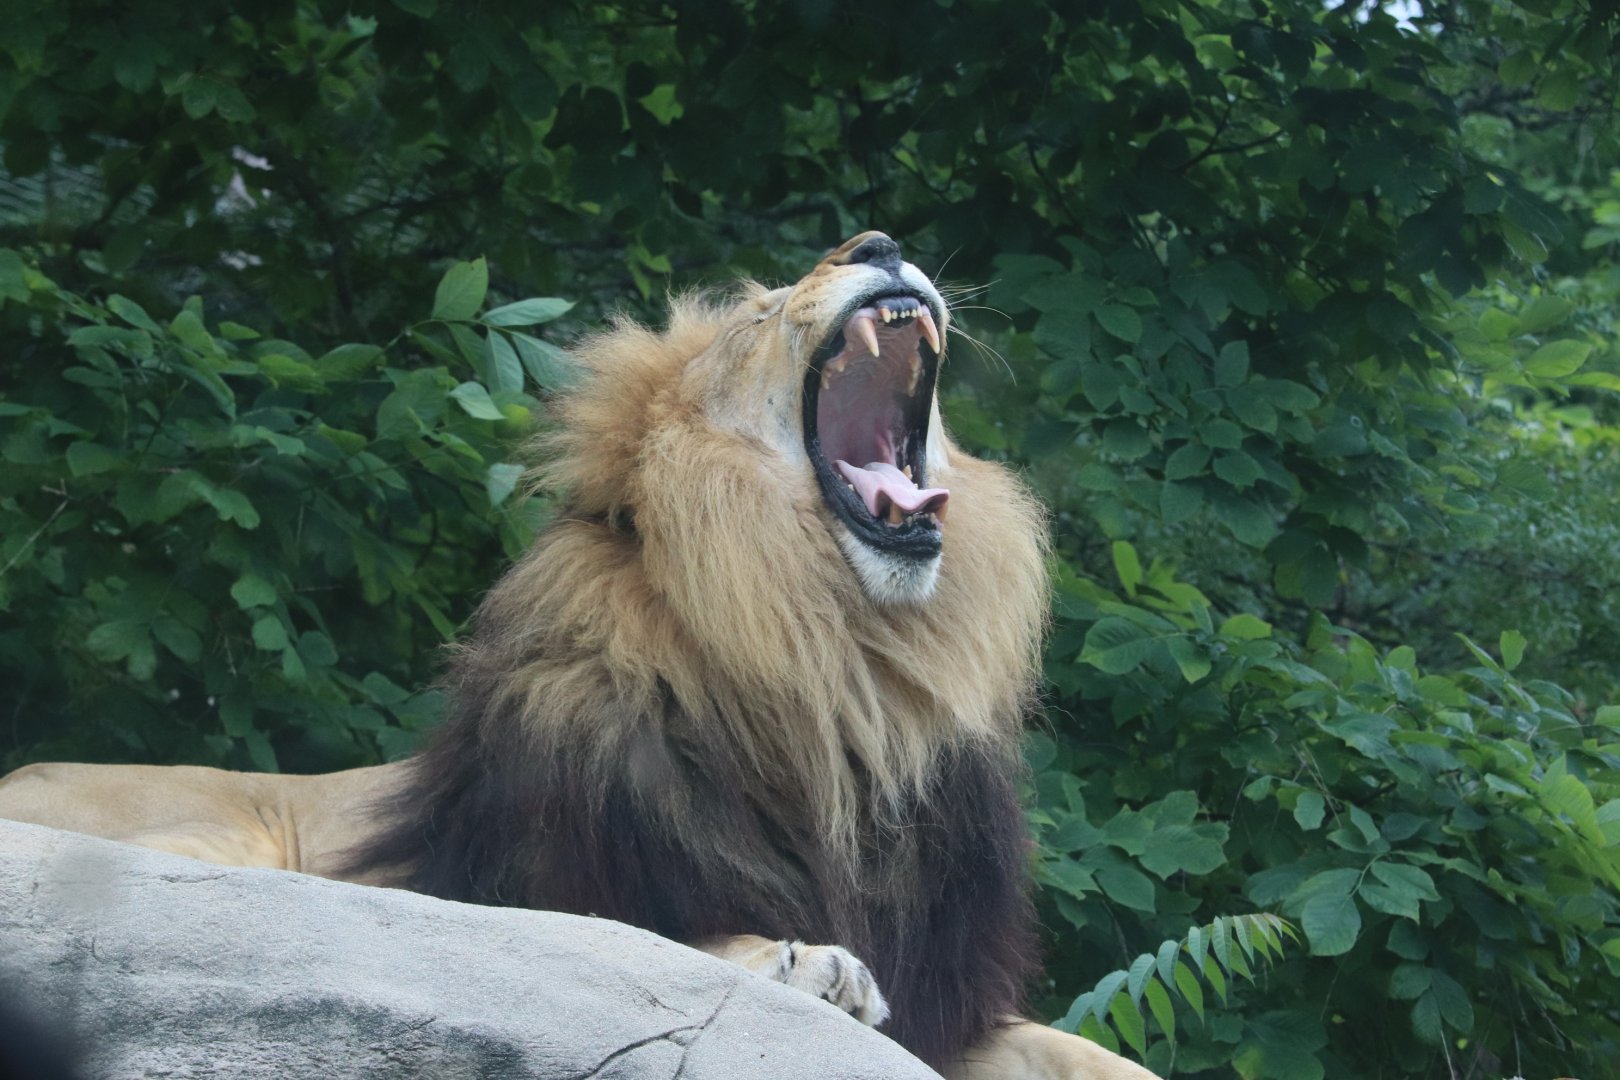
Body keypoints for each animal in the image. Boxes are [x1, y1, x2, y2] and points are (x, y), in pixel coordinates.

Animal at [0, 233, 1152, 1080]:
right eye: (759, 315)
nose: (879, 241)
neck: (842, 672)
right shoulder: (512, 882)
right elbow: (659, 939)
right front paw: (801, 959)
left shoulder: (955, 1005)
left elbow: (1089, 1054)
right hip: (211, 839)